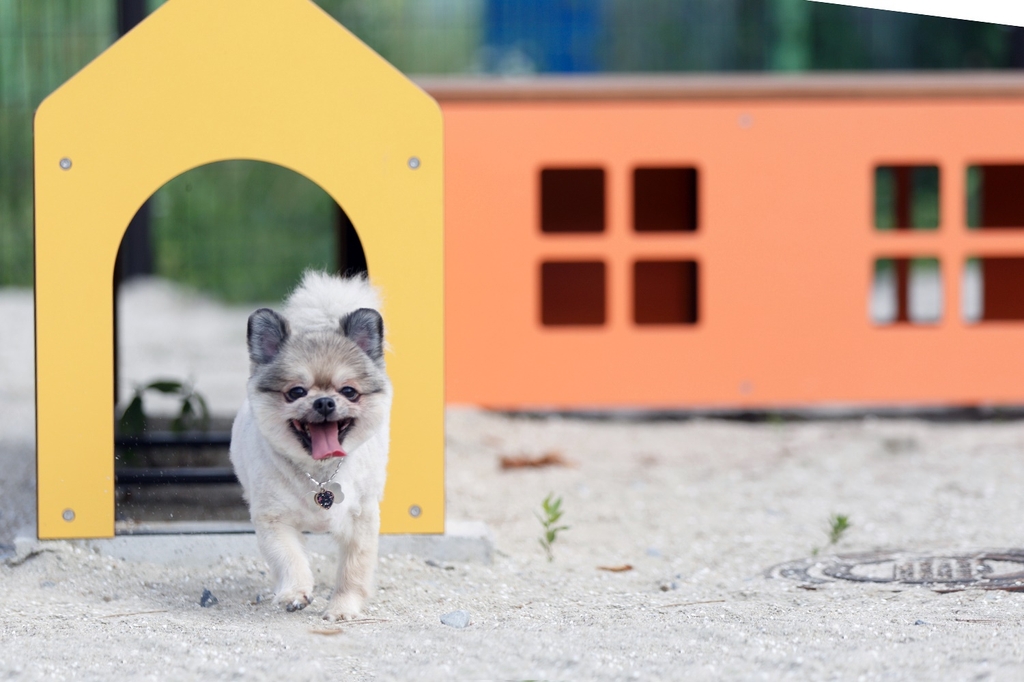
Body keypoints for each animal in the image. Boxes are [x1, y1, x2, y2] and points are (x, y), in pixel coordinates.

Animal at [230, 268, 389, 618]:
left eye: (349, 392)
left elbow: (353, 571)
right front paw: (295, 593)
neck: (320, 474)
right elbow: (289, 559)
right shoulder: (273, 521)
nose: (325, 402)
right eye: (296, 392)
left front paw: (343, 606)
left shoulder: (361, 522)